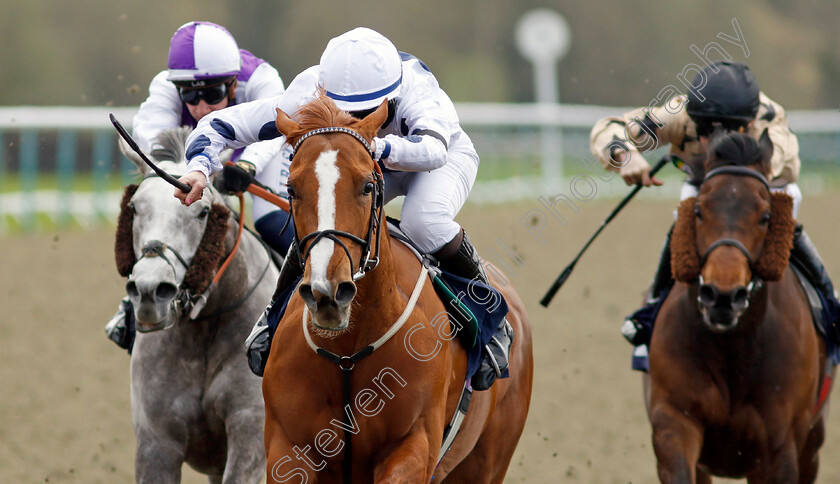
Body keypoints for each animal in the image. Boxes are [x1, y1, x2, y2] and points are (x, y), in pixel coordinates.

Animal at [114, 126, 278, 482]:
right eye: (134, 207)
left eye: (203, 212)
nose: (150, 291)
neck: (203, 331)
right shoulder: (156, 443)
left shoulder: (250, 432)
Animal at [262, 95, 532, 484]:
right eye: (291, 189)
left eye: (367, 186)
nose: (328, 292)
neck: (348, 350)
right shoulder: (288, 449)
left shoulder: (413, 446)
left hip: (487, 462)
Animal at [644, 130, 832, 484]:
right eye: (699, 210)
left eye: (765, 216)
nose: (722, 296)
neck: (732, 350)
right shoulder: (674, 421)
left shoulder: (779, 449)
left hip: (812, 443)